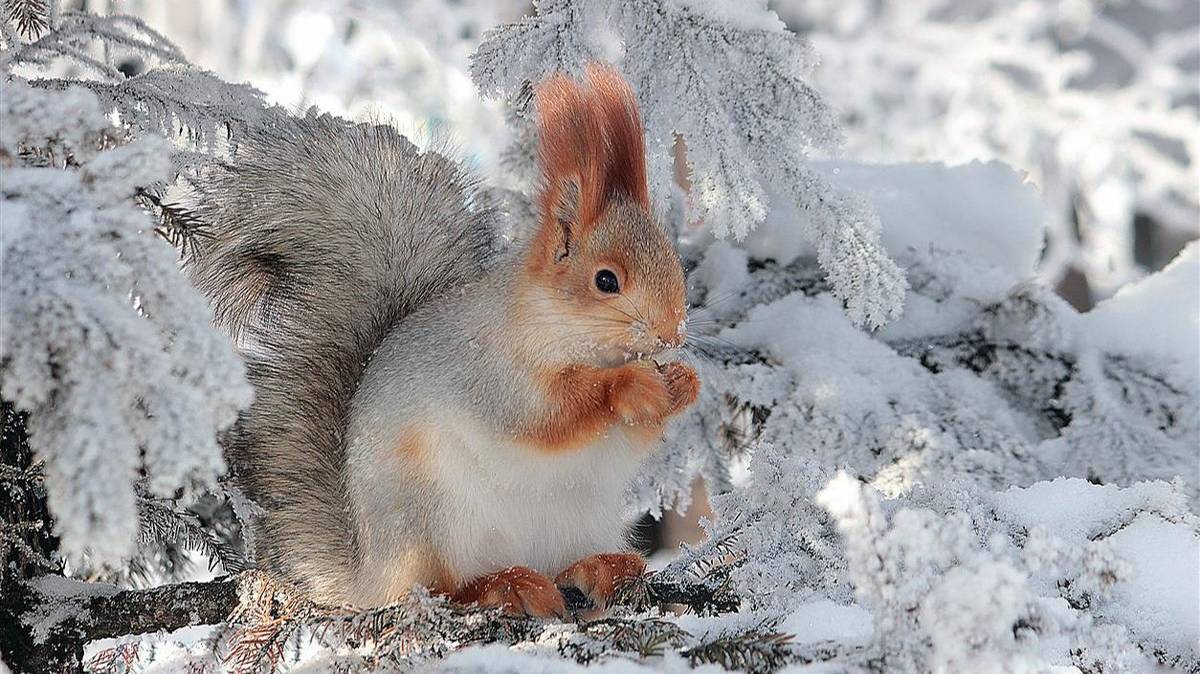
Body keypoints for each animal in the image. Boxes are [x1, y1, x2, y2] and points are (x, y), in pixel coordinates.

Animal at [182, 62, 700, 614]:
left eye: (673, 260)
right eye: (606, 280)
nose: (672, 333)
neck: (558, 326)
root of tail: (370, 574)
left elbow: (634, 438)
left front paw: (682, 384)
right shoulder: (493, 370)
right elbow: (548, 413)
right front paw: (631, 386)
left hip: (578, 522)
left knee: (564, 564)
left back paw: (604, 567)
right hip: (430, 520)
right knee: (440, 588)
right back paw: (505, 585)